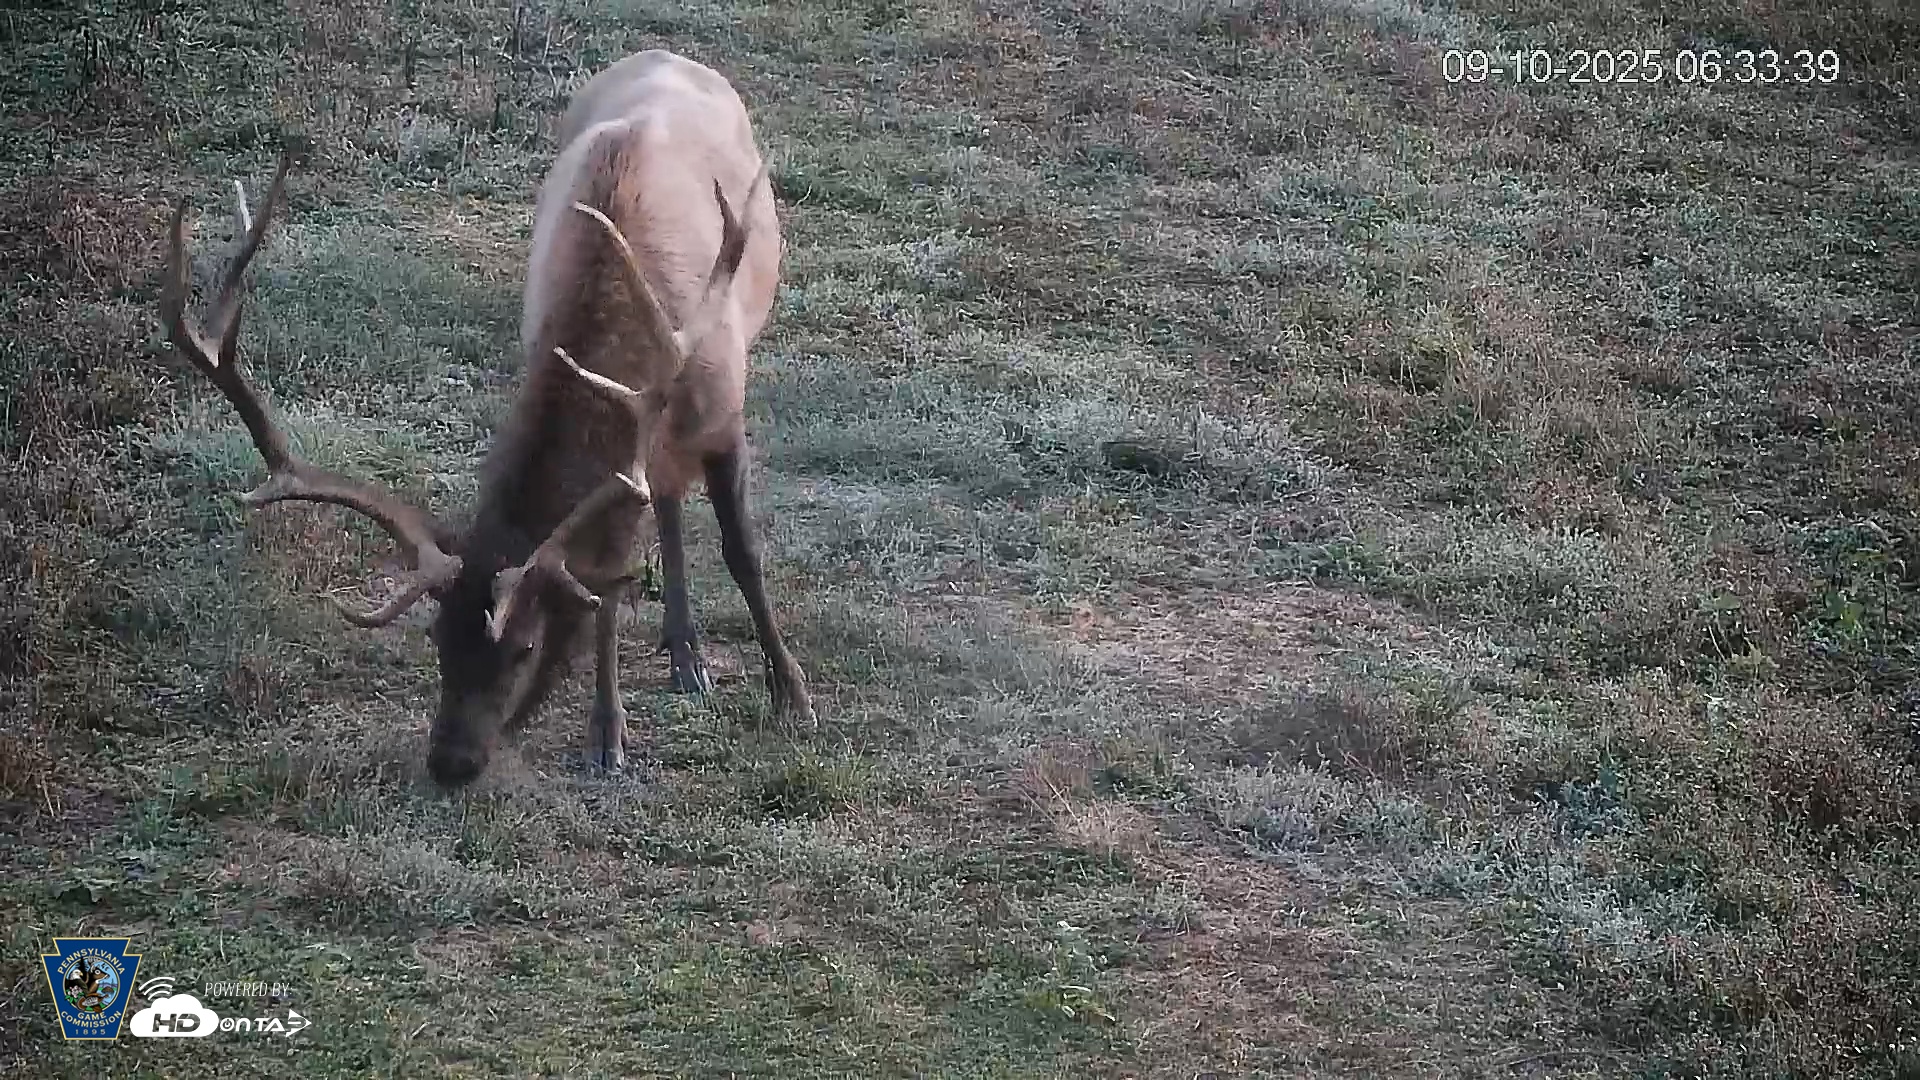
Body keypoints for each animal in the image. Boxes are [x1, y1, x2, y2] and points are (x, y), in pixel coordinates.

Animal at [158, 49, 816, 788]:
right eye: (436, 638)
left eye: (523, 646)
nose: (450, 762)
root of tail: (667, 53)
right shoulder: (623, 453)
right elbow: (608, 587)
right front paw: (607, 732)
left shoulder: (722, 409)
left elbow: (741, 553)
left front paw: (790, 691)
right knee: (668, 500)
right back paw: (684, 652)